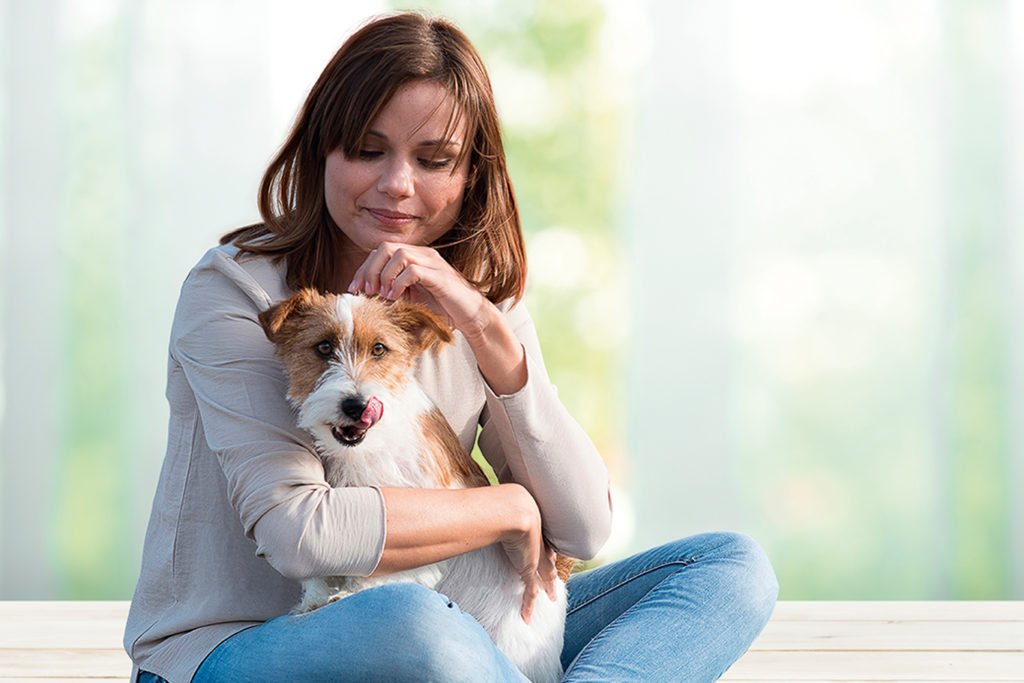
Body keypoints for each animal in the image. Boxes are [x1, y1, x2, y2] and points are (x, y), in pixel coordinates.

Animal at [258, 288, 569, 683]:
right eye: (324, 347)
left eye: (379, 349)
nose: (356, 405)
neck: (370, 449)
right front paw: (314, 598)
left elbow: (387, 565)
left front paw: (352, 593)